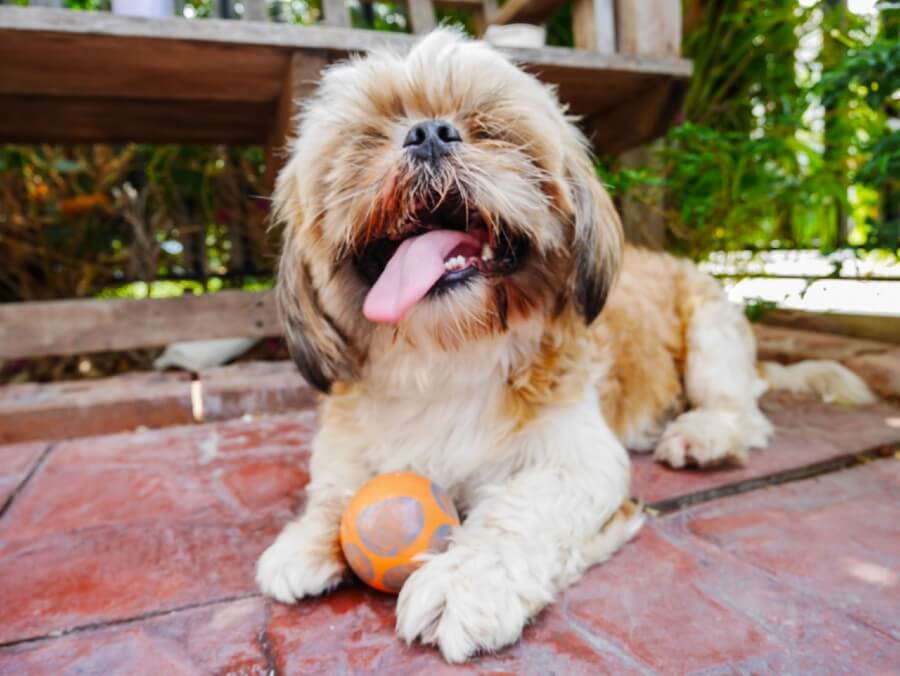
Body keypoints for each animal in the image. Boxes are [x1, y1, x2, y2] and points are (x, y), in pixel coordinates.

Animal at [256, 30, 876, 660]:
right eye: (364, 141)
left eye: (490, 127)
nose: (429, 132)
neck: (449, 355)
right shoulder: (347, 440)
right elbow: (336, 485)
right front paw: (309, 537)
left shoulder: (576, 461)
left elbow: (519, 512)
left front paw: (466, 580)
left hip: (710, 331)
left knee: (740, 411)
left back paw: (703, 436)